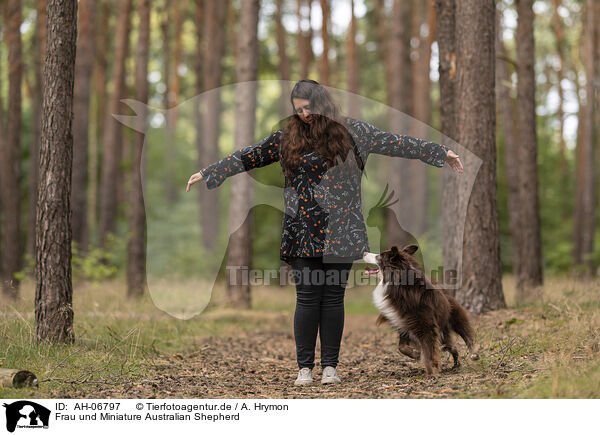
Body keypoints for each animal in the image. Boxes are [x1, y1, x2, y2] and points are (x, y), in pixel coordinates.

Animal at [360, 245, 478, 378]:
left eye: (379, 256)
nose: (364, 252)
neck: (399, 286)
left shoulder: (426, 326)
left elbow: (429, 351)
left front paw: (432, 372)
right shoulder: (404, 324)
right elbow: (401, 347)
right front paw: (416, 354)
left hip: (454, 316)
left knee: (466, 334)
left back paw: (473, 354)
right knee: (451, 346)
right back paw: (455, 363)